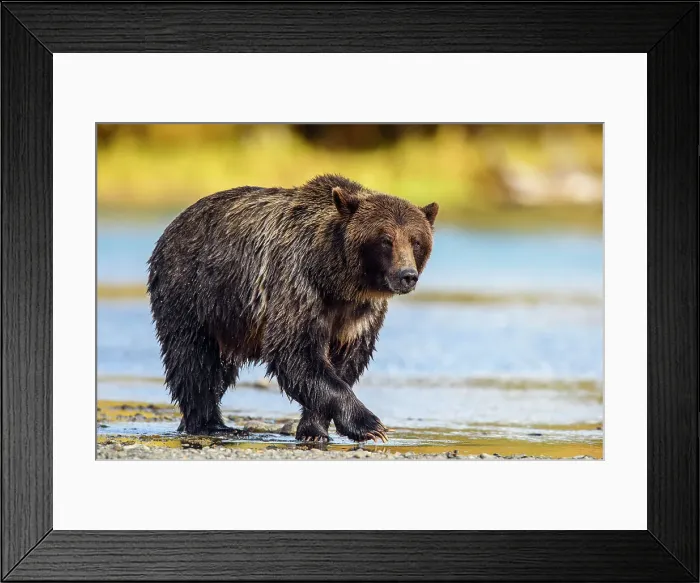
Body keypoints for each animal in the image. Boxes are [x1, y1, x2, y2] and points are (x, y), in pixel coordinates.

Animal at [146, 174, 438, 443]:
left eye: (416, 241)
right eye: (385, 240)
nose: (407, 275)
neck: (336, 280)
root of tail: (174, 224)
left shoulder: (359, 315)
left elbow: (345, 362)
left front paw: (314, 429)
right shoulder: (297, 286)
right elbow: (295, 351)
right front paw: (370, 425)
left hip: (228, 318)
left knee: (218, 367)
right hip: (193, 292)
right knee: (194, 359)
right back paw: (210, 424)